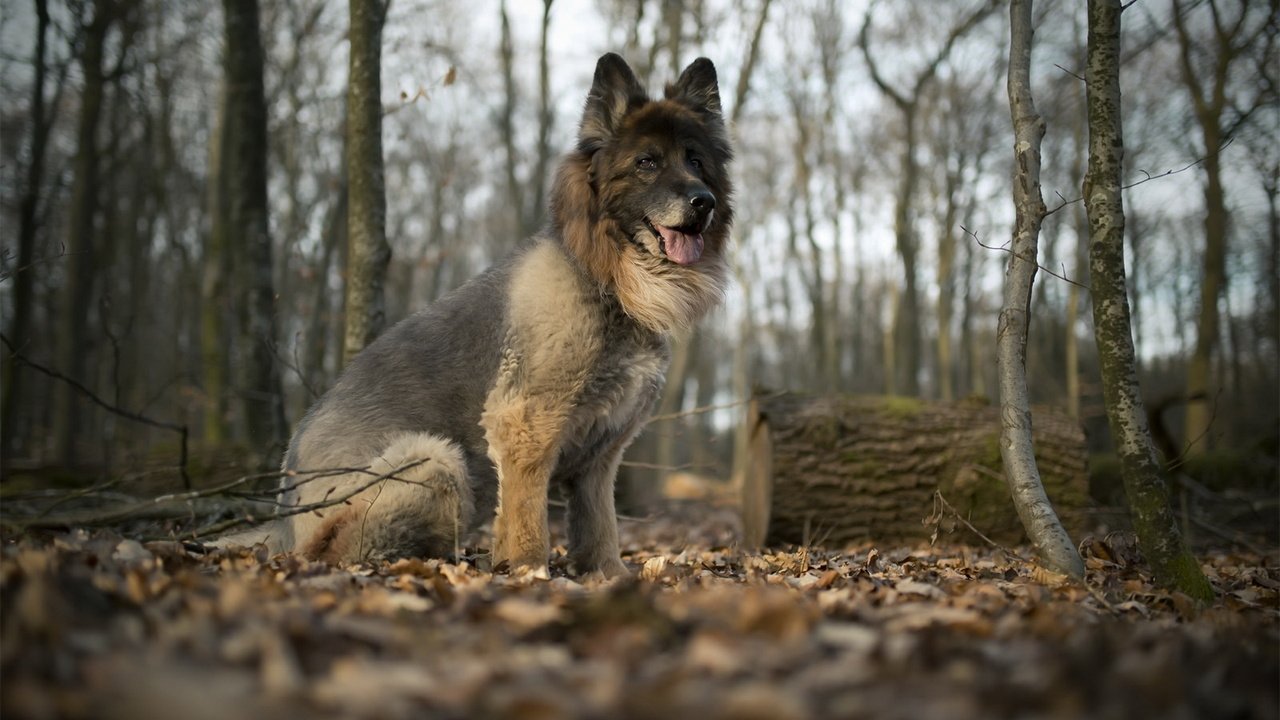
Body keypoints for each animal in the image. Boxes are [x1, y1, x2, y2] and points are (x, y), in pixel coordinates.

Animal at [225, 53, 737, 573]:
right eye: (647, 162)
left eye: (696, 161)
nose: (703, 202)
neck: (604, 278)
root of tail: (284, 519)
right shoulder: (526, 427)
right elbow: (526, 518)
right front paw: (529, 572)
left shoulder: (600, 456)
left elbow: (600, 528)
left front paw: (608, 576)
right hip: (434, 459)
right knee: (343, 549)